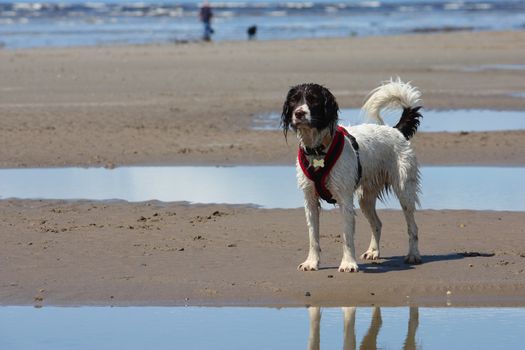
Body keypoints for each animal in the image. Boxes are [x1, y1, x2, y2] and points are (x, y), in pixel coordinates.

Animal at [278, 79, 422, 274]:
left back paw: (413, 255)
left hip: (404, 189)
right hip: (366, 197)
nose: (299, 113)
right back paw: (373, 251)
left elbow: (347, 236)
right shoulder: (310, 200)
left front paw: (348, 263)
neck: (318, 149)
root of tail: (396, 131)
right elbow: (313, 236)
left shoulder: (344, 199)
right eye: (294, 100)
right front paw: (312, 262)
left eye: (313, 99)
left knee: (412, 226)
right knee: (377, 223)